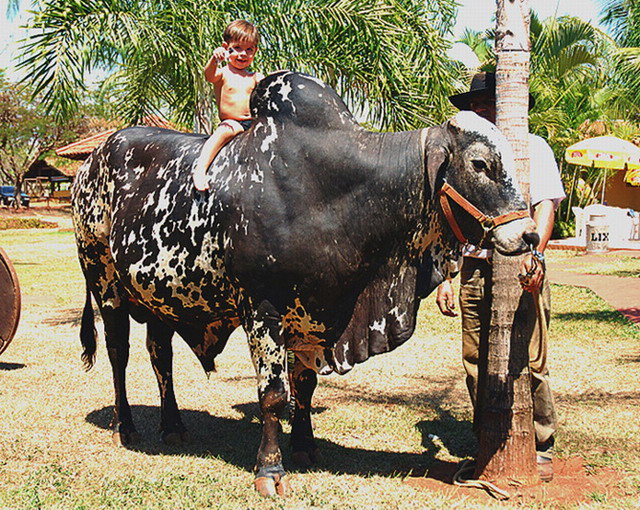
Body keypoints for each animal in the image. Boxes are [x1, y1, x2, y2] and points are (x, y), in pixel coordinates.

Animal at [72, 69, 536, 496]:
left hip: (161, 297)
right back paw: (126, 426)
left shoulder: (315, 314)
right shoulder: (263, 310)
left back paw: (172, 425)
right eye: (480, 164)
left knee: (160, 354)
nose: (530, 234)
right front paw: (270, 470)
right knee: (118, 352)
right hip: (103, 280)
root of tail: (94, 157)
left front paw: (306, 446)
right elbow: (275, 394)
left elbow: (305, 386)